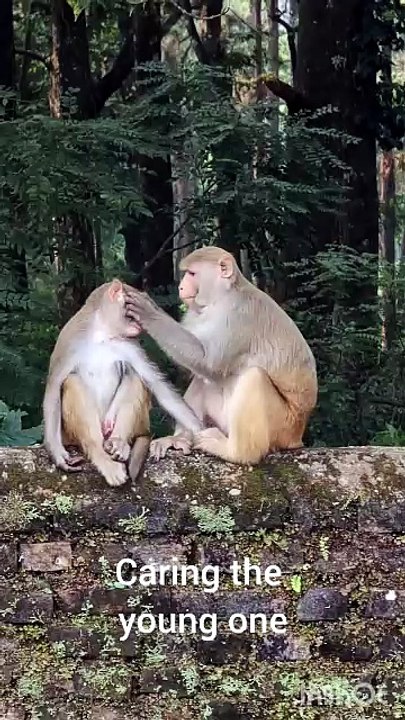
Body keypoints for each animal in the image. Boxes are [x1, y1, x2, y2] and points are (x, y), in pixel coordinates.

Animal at [43, 279, 203, 487]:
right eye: (132, 313)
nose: (140, 325)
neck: (102, 334)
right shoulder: (69, 341)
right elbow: (54, 388)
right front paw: (57, 454)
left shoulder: (130, 345)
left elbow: (157, 385)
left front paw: (199, 433)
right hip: (69, 433)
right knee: (72, 381)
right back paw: (100, 454)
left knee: (135, 377)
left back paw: (119, 442)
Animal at [124, 246, 318, 465]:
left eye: (192, 273)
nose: (181, 287)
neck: (221, 298)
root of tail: (296, 437)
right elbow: (196, 367)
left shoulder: (238, 315)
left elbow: (208, 362)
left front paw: (148, 312)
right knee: (204, 381)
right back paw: (181, 438)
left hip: (282, 425)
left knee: (254, 377)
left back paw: (237, 452)